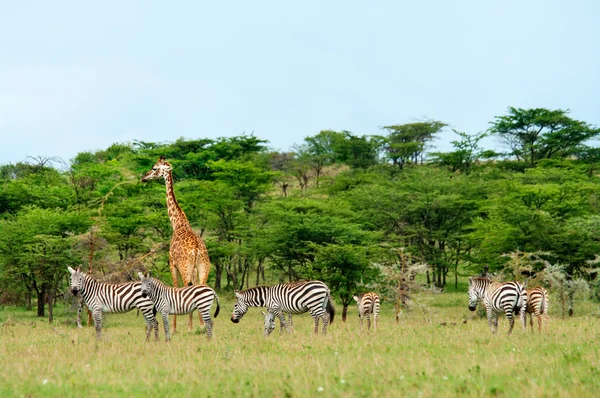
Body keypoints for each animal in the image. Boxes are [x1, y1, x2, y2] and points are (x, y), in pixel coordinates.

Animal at [142, 155, 212, 332]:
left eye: (154, 168)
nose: (143, 177)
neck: (178, 223)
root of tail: (196, 248)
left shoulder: (172, 263)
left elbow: (175, 287)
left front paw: (174, 328)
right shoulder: (193, 268)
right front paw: (198, 324)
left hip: (185, 266)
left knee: (188, 287)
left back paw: (189, 327)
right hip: (203, 266)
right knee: (201, 286)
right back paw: (202, 325)